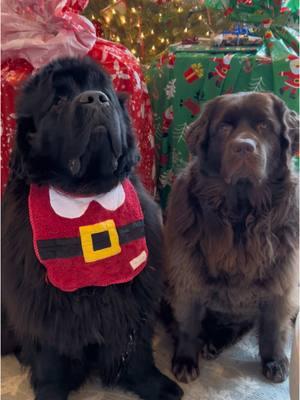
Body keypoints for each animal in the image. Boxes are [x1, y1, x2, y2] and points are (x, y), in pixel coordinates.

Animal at [1, 57, 183, 400]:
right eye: (57, 101)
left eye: (105, 92)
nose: (96, 99)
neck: (87, 196)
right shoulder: (44, 302)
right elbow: (51, 359)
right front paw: (50, 392)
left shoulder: (132, 296)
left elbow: (136, 350)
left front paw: (152, 384)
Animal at [164, 93, 300, 384]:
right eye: (224, 128)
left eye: (264, 126)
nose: (244, 147)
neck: (240, 212)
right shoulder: (188, 270)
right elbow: (188, 321)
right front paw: (185, 360)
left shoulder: (281, 275)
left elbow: (273, 324)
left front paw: (274, 360)